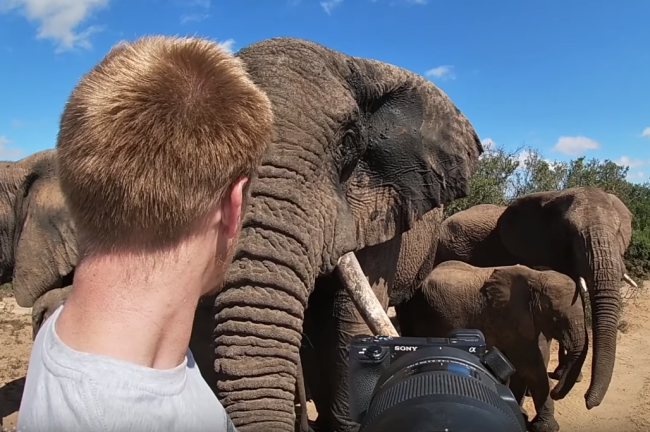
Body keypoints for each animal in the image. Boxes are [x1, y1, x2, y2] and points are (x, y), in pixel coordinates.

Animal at [394, 260, 588, 432]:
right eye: (556, 317)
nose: (556, 390)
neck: (536, 277)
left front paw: (522, 414)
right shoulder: (508, 315)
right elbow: (530, 366)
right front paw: (546, 428)